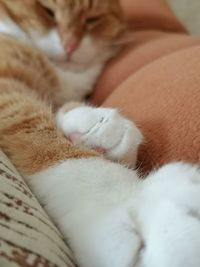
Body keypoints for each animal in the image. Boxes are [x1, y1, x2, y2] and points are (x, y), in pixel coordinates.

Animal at [0, 0, 200, 267]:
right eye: (47, 11)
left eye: (91, 20)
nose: (70, 46)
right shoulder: (7, 84)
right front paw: (130, 205)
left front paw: (95, 128)